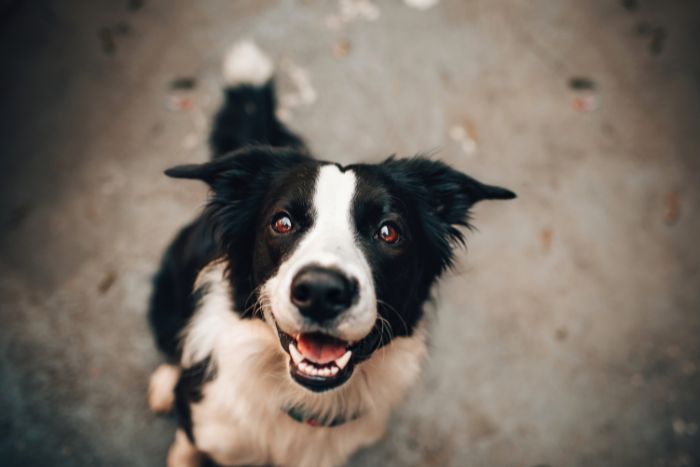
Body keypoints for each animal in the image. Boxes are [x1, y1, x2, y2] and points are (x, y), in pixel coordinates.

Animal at [148, 41, 516, 467]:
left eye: (389, 232)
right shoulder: (207, 425)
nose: (322, 292)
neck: (303, 402)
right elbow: (186, 445)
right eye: (283, 222)